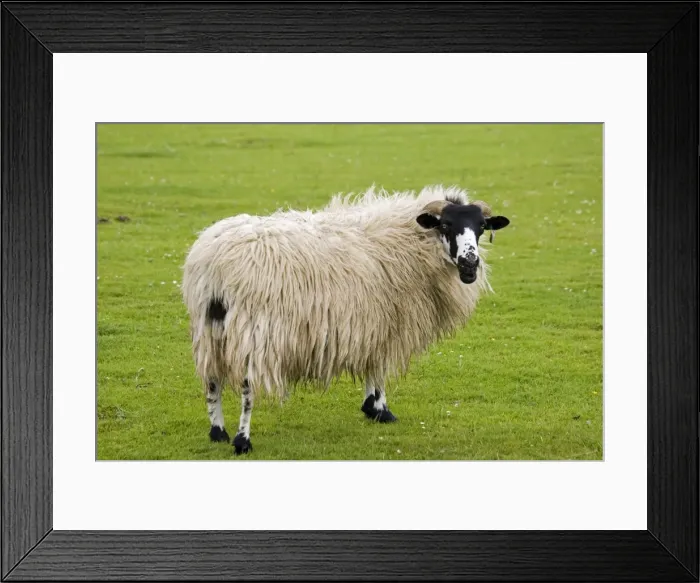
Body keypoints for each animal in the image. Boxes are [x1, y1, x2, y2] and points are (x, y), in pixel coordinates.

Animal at [181, 185, 510, 454]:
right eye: (445, 225)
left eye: (481, 227)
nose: (470, 264)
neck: (408, 242)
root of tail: (214, 263)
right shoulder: (385, 319)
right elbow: (378, 365)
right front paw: (380, 408)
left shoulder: (370, 320)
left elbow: (370, 362)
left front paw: (371, 407)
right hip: (255, 330)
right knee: (248, 387)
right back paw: (242, 440)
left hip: (208, 327)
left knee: (211, 380)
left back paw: (218, 432)